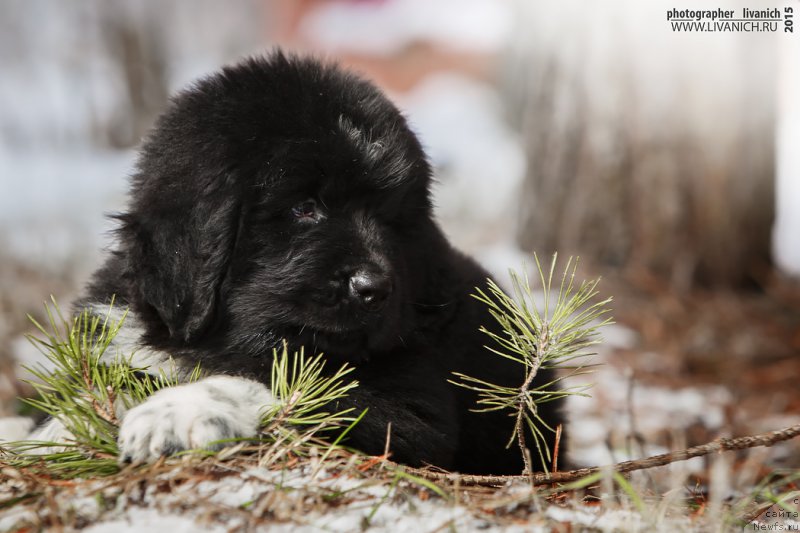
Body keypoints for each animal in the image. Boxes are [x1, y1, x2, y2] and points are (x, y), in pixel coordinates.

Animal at [65, 51, 564, 474]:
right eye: (304, 208)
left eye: (391, 220)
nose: (373, 288)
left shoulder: (410, 405)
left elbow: (283, 383)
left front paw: (180, 410)